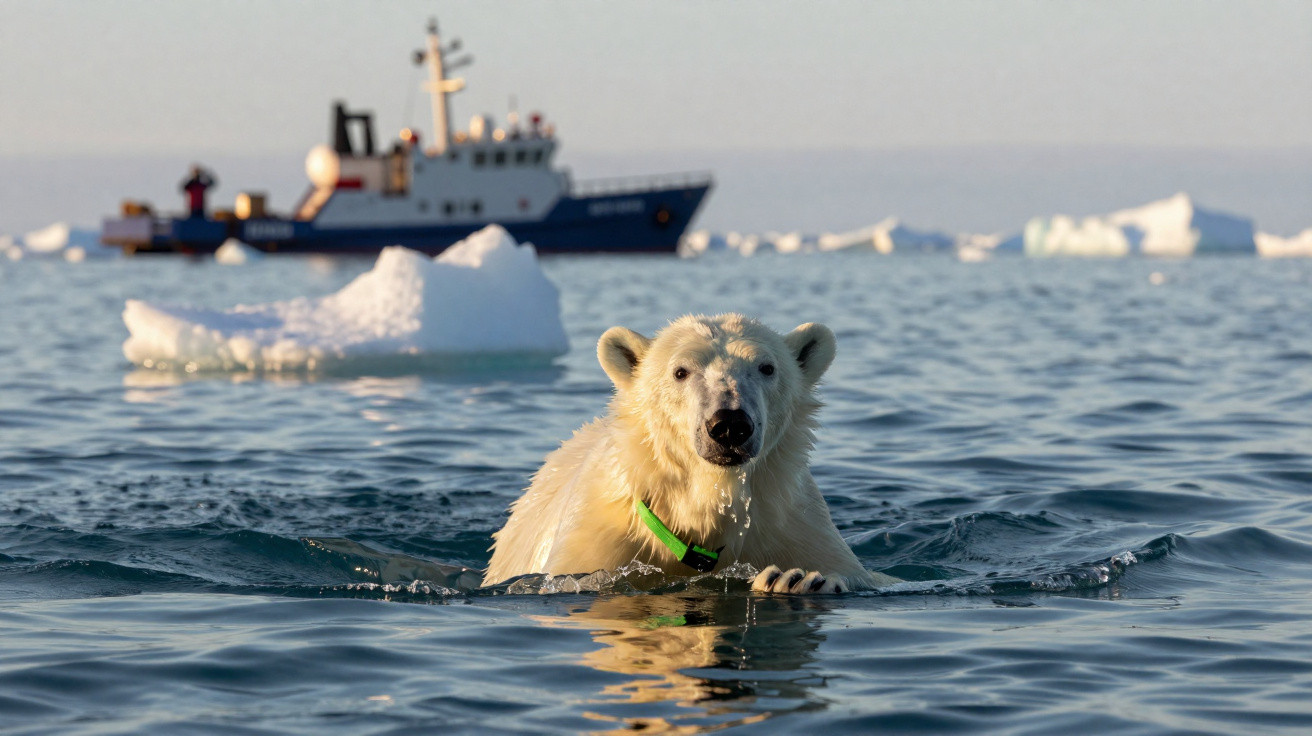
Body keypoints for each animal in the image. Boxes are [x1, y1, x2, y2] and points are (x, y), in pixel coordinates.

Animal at [483, 313, 899, 594]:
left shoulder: (791, 523)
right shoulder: (601, 536)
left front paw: (796, 580)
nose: (729, 423)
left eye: (766, 367)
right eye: (680, 371)